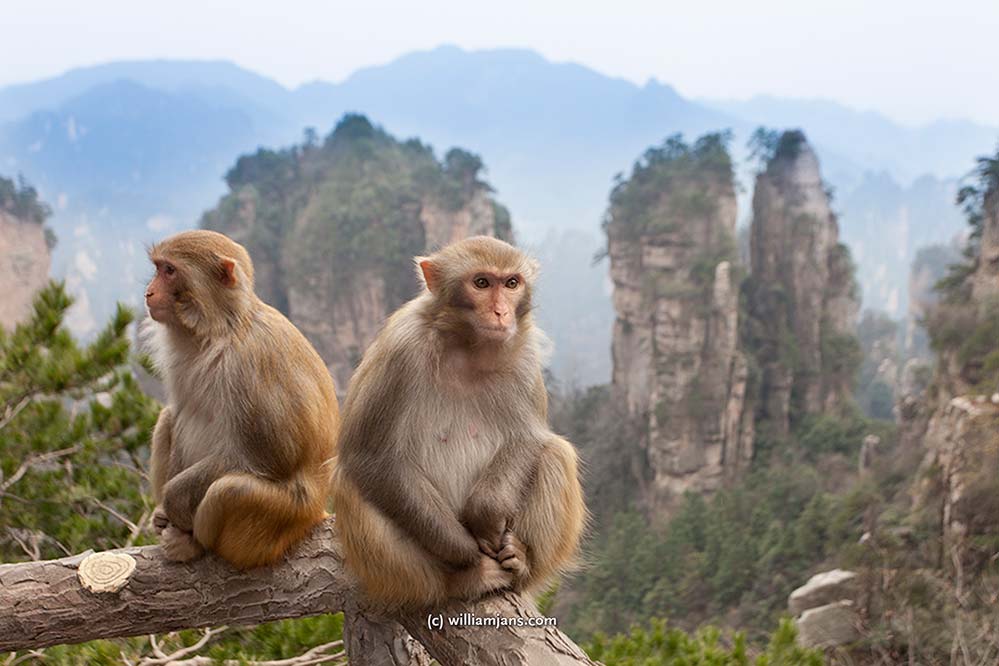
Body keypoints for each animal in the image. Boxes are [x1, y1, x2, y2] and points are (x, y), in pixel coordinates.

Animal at [143, 230, 339, 570]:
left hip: (281, 521)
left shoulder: (247, 364)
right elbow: (180, 416)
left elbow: (272, 454)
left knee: (230, 490)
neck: (219, 330)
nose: (148, 293)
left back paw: (193, 544)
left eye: (169, 270)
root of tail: (315, 512)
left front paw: (174, 501)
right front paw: (165, 512)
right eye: (158, 268)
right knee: (168, 418)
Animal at [331, 235, 586, 608]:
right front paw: (466, 551)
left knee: (555, 454)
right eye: (481, 283)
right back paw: (461, 581)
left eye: (511, 283)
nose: (501, 312)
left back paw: (521, 560)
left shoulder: (524, 356)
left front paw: (486, 516)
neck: (467, 347)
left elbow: (528, 436)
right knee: (353, 484)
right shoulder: (399, 347)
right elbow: (369, 454)